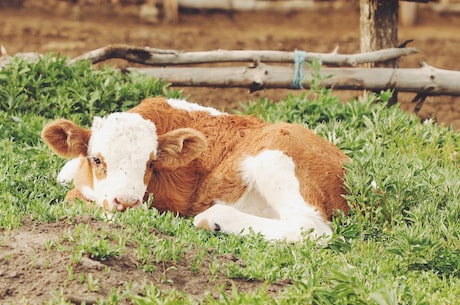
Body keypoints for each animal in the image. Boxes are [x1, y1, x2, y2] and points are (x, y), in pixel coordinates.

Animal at [42, 97, 348, 240]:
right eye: (97, 159)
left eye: (150, 163)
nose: (126, 202)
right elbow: (67, 177)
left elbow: (74, 199)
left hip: (275, 156)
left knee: (312, 227)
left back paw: (214, 219)